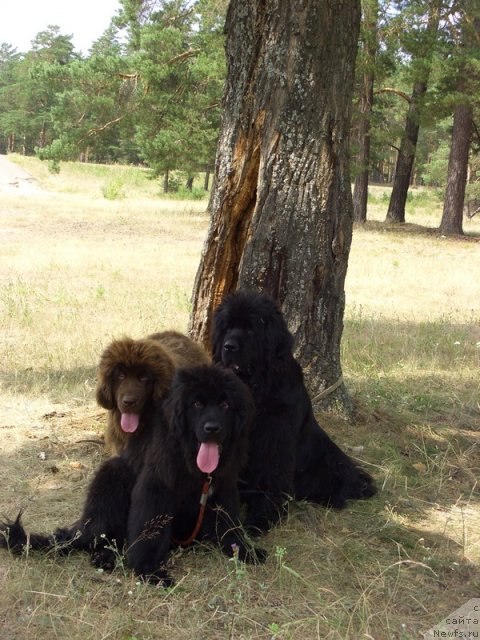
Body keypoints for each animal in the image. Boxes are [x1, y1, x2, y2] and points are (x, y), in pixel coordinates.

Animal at [0, 364, 266, 584]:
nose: (212, 429)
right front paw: (148, 570)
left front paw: (244, 550)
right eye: (197, 404)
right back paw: (105, 557)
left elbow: (229, 524)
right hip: (112, 478)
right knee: (103, 537)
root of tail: (83, 527)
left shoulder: (222, 486)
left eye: (225, 405)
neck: (191, 459)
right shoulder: (156, 487)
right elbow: (149, 529)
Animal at [213, 290, 376, 536]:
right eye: (227, 327)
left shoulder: (274, 439)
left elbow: (271, 477)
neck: (256, 385)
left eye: (251, 329)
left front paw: (261, 518)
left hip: (328, 464)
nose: (228, 346)